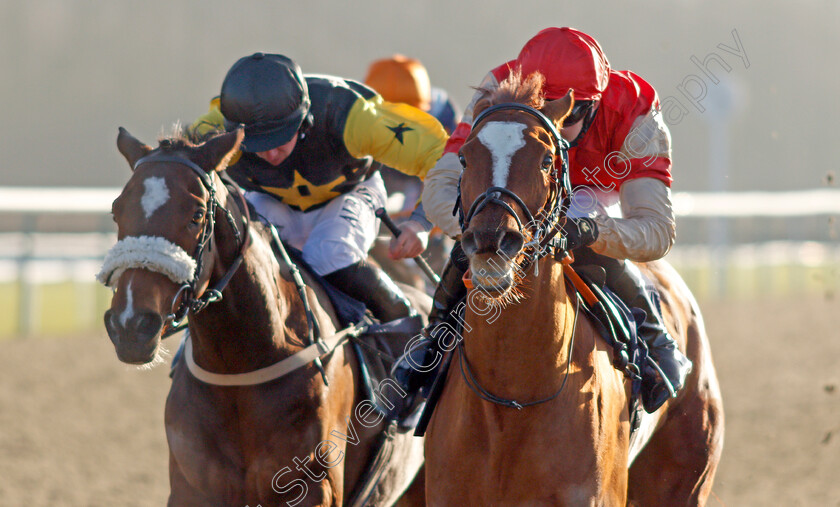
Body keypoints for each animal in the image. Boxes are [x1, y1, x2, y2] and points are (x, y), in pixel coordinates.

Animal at [101, 128, 426, 507]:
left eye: (197, 214)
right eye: (116, 210)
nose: (130, 324)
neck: (240, 369)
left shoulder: (314, 487)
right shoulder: (191, 486)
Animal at [424, 73, 724, 506]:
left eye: (546, 159)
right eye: (464, 157)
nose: (490, 241)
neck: (512, 397)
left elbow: (653, 222)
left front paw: (578, 229)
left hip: (685, 477)